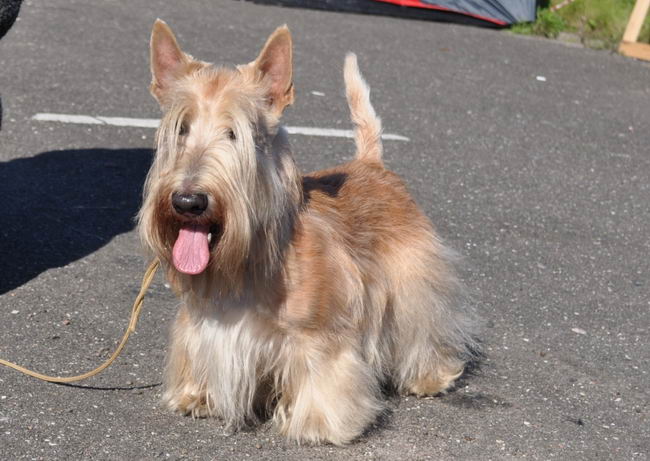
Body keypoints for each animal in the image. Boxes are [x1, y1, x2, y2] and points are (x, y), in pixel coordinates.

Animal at [137, 19, 478, 444]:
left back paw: (431, 376)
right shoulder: (207, 329)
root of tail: (372, 165)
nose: (188, 201)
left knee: (425, 327)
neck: (253, 254)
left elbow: (324, 377)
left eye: (235, 133)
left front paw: (320, 423)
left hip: (412, 280)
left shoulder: (319, 338)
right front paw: (198, 396)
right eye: (181, 128)